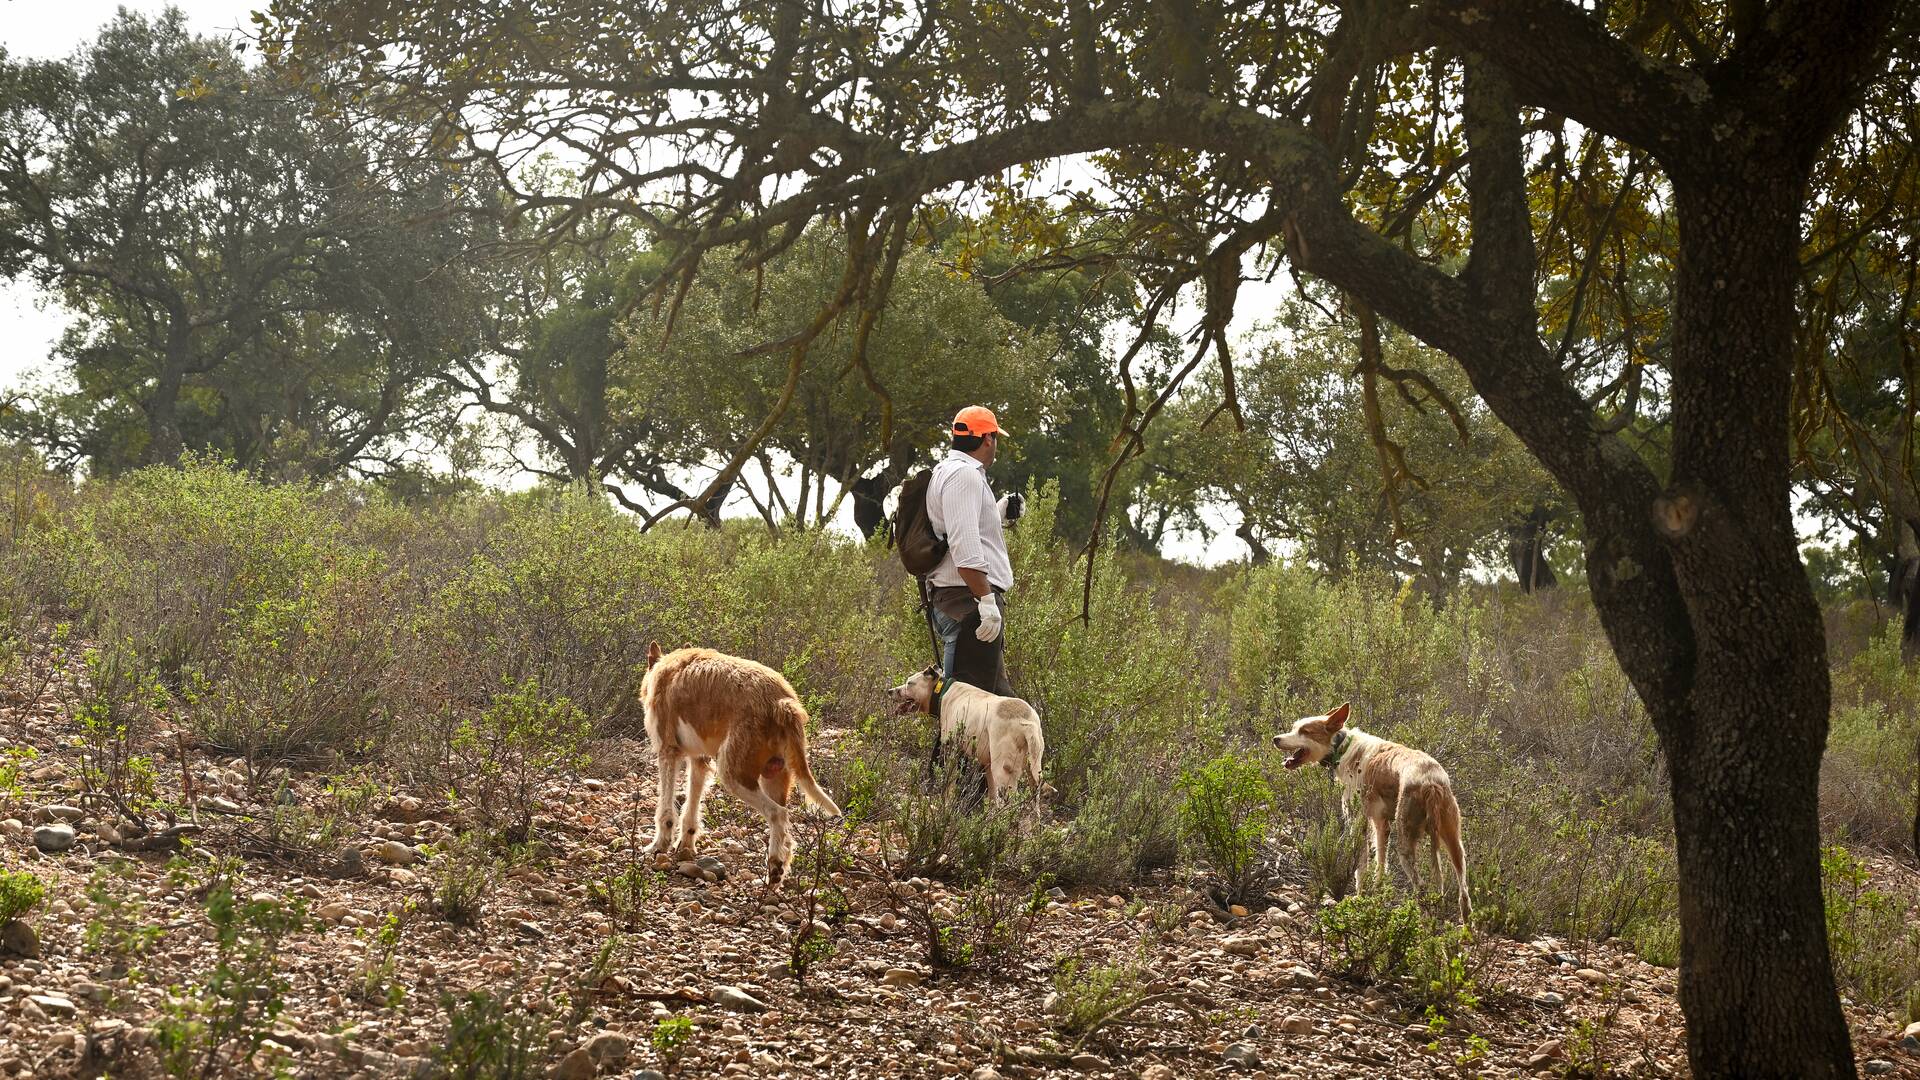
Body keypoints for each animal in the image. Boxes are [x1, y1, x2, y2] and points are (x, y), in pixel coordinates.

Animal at [637, 638, 840, 883]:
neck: (665, 667)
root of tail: (782, 702)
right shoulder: (699, 760)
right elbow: (691, 808)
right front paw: (685, 845)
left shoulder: (667, 752)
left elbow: (665, 810)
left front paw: (659, 845)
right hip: (775, 776)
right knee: (787, 830)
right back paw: (777, 872)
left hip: (733, 775)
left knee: (777, 814)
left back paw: (773, 867)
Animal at [887, 661, 1044, 810]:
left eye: (909, 683)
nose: (889, 691)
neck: (943, 692)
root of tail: (1027, 723)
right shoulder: (987, 764)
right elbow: (992, 795)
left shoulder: (952, 750)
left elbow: (949, 785)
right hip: (1033, 774)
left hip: (1003, 772)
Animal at [1274, 703, 1466, 922]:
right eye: (1294, 727)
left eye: (1305, 731)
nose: (1275, 739)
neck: (1343, 748)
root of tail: (1431, 783)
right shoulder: (1381, 824)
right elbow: (1380, 863)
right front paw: (1377, 895)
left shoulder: (1359, 823)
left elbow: (1361, 867)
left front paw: (1359, 898)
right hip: (1455, 845)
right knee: (1464, 896)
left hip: (1405, 845)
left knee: (1422, 888)